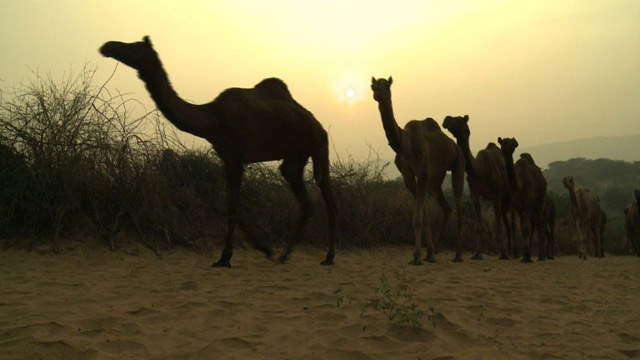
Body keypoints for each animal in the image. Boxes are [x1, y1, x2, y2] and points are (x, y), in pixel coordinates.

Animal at [99, 36, 340, 268]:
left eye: (133, 47)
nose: (107, 46)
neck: (212, 118)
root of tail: (316, 122)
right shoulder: (227, 157)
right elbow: (231, 206)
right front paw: (264, 250)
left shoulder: (236, 157)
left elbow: (232, 207)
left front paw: (226, 257)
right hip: (295, 157)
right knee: (302, 198)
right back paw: (285, 255)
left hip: (319, 143)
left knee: (327, 195)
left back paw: (328, 257)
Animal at [370, 76, 464, 264]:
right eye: (373, 86)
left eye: (386, 86)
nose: (377, 93)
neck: (405, 144)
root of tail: (454, 146)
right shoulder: (409, 177)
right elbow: (424, 218)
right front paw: (427, 253)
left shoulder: (423, 173)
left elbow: (418, 219)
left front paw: (417, 256)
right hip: (436, 179)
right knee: (446, 208)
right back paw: (435, 249)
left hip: (458, 163)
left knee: (458, 206)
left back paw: (458, 255)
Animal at [442, 115, 512, 258]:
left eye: (458, 120)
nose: (446, 119)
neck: (479, 170)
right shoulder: (474, 194)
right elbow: (479, 227)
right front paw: (477, 253)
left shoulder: (496, 196)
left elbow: (498, 225)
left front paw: (502, 253)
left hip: (508, 194)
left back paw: (511, 253)